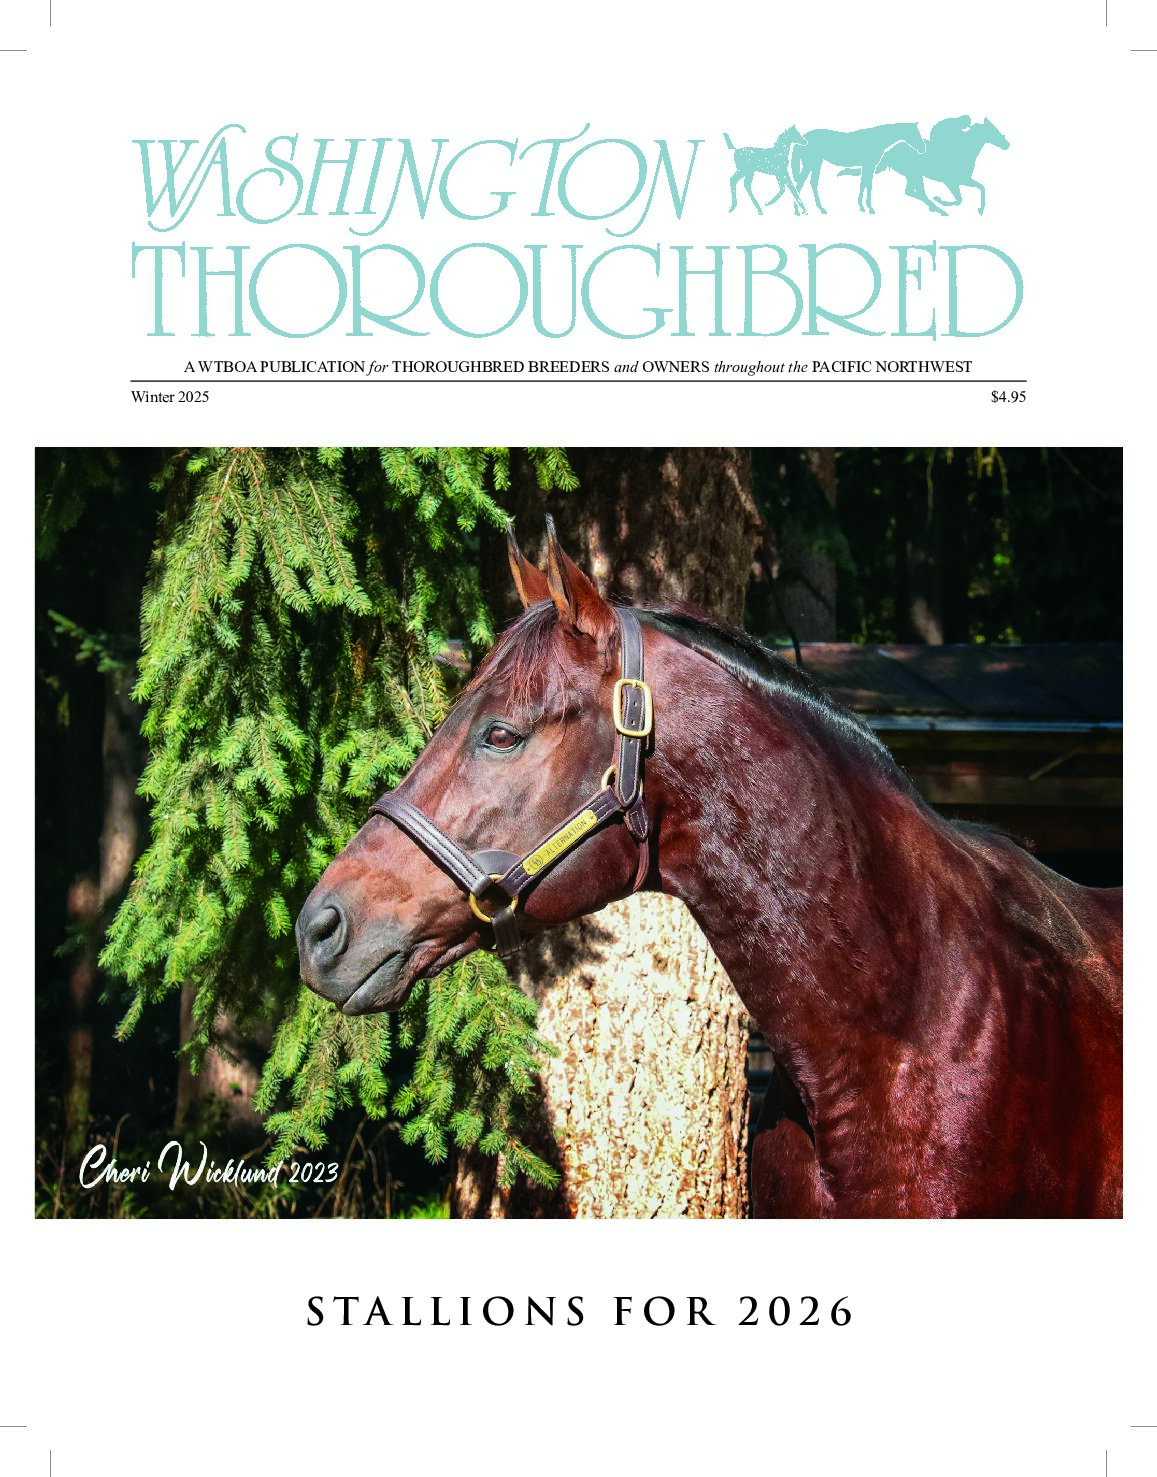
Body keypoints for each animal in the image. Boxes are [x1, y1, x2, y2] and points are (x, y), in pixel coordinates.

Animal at [791, 122, 925, 213]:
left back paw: (820, 208)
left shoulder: (866, 166)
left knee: (812, 183)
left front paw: (862, 206)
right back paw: (799, 210)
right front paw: (870, 208)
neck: (877, 140)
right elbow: (868, 185)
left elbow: (863, 184)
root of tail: (803, 138)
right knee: (800, 183)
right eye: (915, 133)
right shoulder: (869, 166)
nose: (923, 149)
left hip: (816, 163)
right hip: (810, 163)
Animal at [871, 116, 1010, 216]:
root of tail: (889, 151)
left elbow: (981, 187)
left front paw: (981, 210)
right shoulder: (951, 181)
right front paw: (939, 199)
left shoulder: (964, 180)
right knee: (917, 192)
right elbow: (959, 200)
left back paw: (935, 208)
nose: (1007, 144)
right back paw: (938, 209)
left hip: (913, 175)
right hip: (914, 174)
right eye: (993, 131)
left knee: (911, 191)